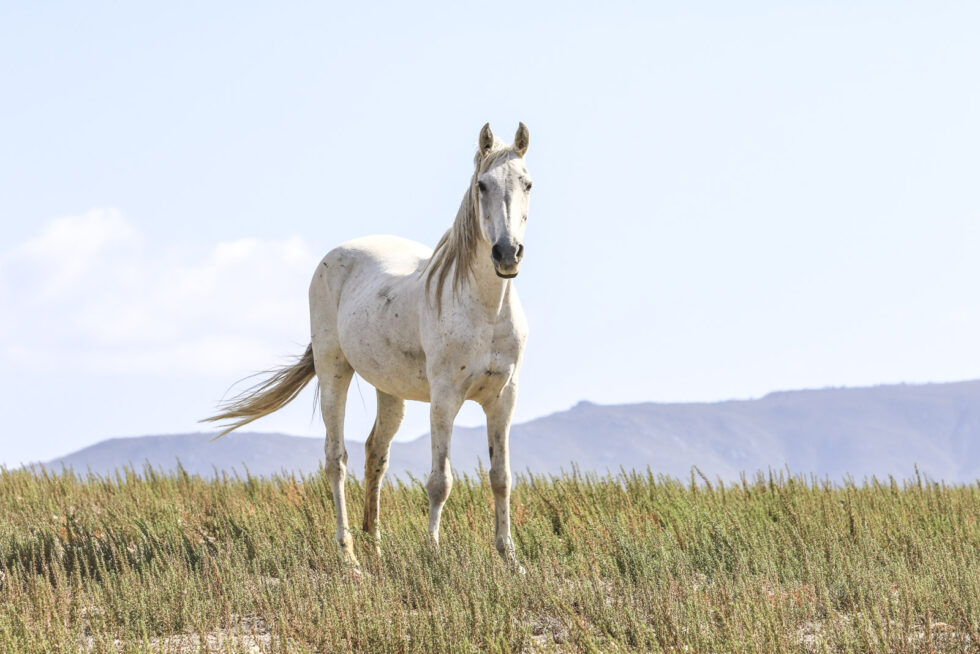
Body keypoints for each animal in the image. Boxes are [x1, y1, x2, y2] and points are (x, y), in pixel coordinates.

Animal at [204, 122, 533, 571]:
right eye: (482, 185)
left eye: (527, 183)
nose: (506, 253)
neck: (485, 309)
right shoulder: (445, 398)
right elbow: (440, 481)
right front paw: (433, 555)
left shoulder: (503, 398)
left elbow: (501, 479)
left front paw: (510, 559)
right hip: (333, 373)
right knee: (336, 459)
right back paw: (350, 557)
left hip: (389, 391)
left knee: (376, 454)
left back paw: (374, 547)